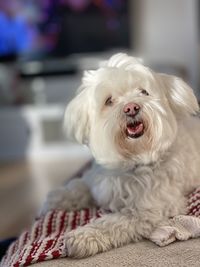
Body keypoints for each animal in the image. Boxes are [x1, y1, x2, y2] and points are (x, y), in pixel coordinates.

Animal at [44, 53, 200, 258]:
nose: (131, 108)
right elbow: (79, 186)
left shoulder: (145, 212)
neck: (130, 161)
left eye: (143, 92)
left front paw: (83, 237)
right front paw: (59, 197)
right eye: (109, 101)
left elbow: (111, 223)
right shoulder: (96, 181)